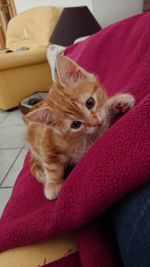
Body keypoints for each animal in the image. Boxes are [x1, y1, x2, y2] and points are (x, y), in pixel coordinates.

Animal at [23, 55, 135, 201]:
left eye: (90, 103)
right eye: (75, 124)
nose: (95, 123)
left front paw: (120, 101)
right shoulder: (46, 142)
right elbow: (51, 166)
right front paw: (52, 185)